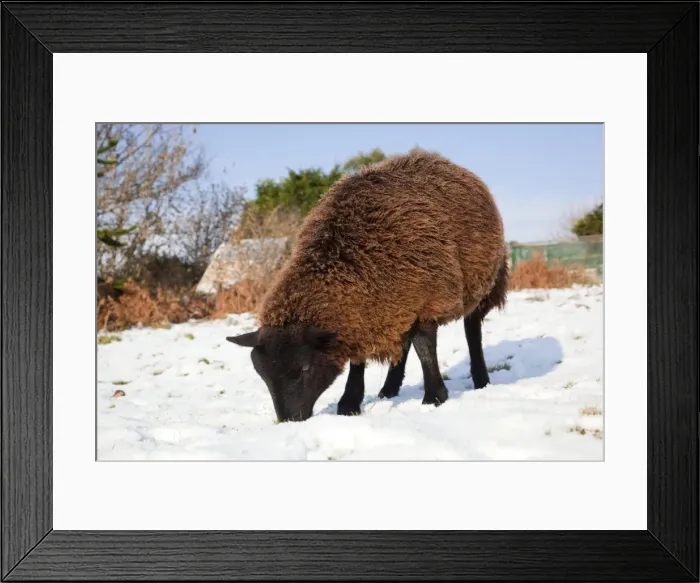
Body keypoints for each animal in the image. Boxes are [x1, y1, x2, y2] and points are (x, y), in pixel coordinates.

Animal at [227, 150, 510, 423]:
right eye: (263, 375)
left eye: (305, 368)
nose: (289, 420)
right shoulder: (368, 312)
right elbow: (359, 359)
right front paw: (349, 404)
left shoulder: (429, 300)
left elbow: (425, 349)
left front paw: (434, 398)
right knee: (403, 342)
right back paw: (389, 389)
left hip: (484, 283)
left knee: (472, 330)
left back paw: (481, 379)